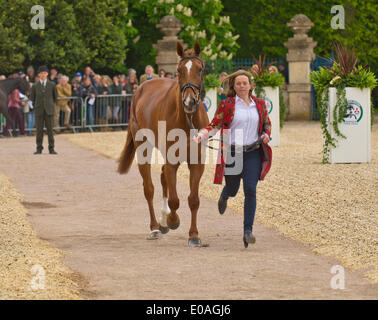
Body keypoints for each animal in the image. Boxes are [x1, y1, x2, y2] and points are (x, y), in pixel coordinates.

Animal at [117, 41, 208, 246]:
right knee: (149, 188)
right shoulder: (172, 160)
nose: (189, 102)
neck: (187, 119)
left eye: (199, 69)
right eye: (179, 70)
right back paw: (155, 227)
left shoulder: (197, 162)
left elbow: (194, 199)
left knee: (162, 177)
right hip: (143, 147)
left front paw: (194, 235)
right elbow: (175, 199)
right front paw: (173, 220)